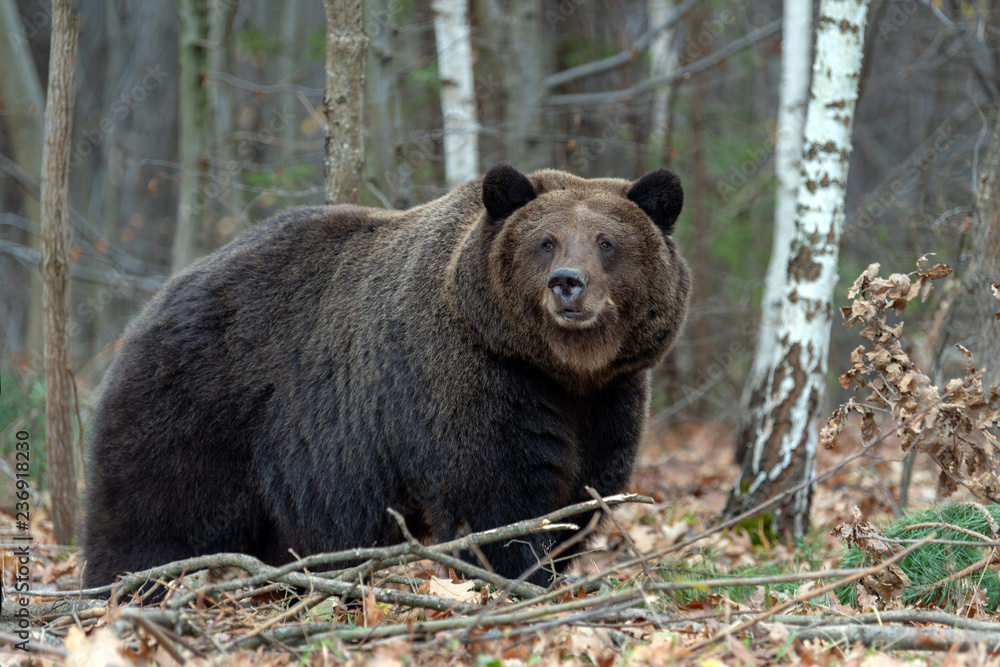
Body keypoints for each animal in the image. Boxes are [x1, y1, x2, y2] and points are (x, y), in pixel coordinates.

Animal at [82, 164, 690, 590]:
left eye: (607, 242)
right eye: (546, 241)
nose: (568, 283)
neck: (561, 369)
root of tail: (155, 301)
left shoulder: (608, 400)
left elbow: (582, 496)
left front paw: (556, 569)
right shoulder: (476, 380)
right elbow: (499, 500)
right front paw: (521, 577)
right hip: (197, 406)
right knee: (149, 517)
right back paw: (121, 590)